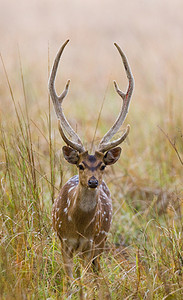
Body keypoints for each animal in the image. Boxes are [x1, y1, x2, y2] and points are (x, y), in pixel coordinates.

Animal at [48, 39, 134, 278]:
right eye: (80, 165)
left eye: (103, 165)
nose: (93, 181)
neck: (78, 227)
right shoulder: (63, 242)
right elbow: (70, 279)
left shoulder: (91, 244)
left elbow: (86, 279)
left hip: (102, 240)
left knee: (97, 270)